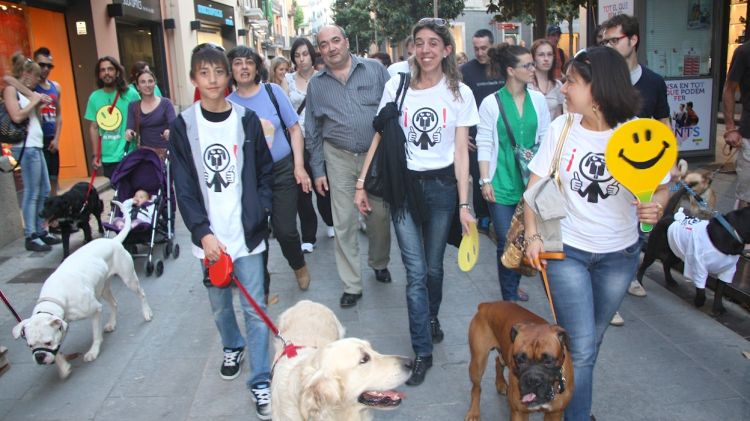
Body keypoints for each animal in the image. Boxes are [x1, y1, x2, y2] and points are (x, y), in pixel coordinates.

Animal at [11, 200, 152, 378]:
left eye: (47, 342)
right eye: (30, 345)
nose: (40, 357)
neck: (57, 296)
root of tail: (113, 241)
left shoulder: (95, 310)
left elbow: (95, 334)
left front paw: (93, 351)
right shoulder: (62, 324)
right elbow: (58, 350)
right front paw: (64, 367)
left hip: (129, 279)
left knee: (141, 294)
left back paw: (146, 313)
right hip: (103, 287)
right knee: (114, 303)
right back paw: (111, 323)